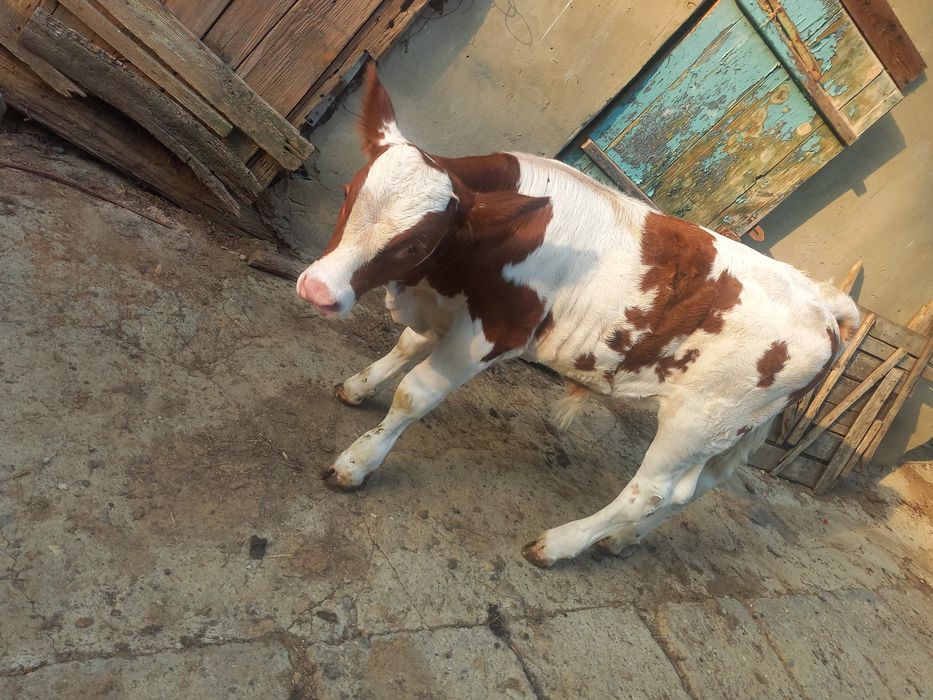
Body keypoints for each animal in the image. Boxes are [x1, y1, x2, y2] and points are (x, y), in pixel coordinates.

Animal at [295, 65, 859, 567]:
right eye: (348, 194)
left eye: (415, 243)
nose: (318, 289)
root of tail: (822, 302)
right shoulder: (446, 306)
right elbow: (406, 346)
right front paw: (358, 388)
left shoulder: (494, 330)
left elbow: (415, 393)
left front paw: (356, 464)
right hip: (730, 432)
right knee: (690, 491)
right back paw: (619, 541)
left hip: (700, 419)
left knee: (652, 491)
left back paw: (559, 544)